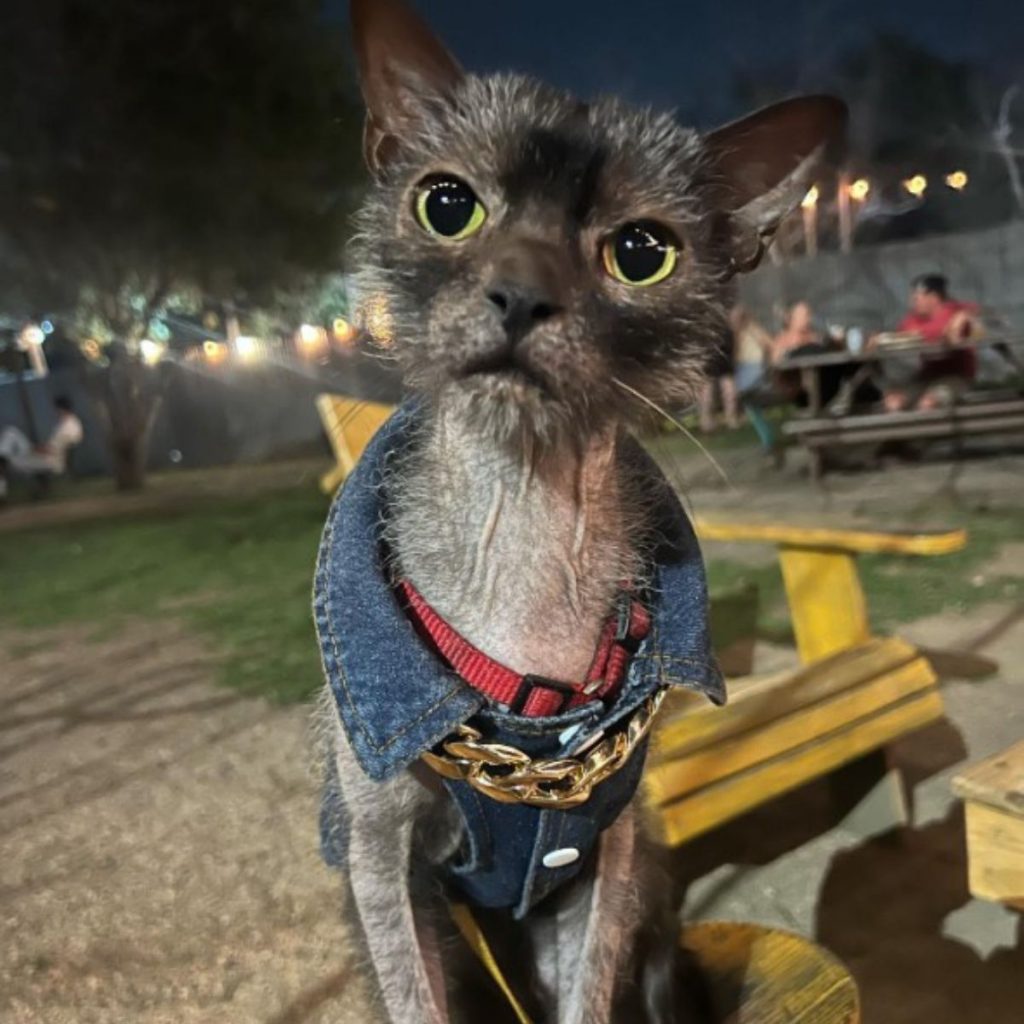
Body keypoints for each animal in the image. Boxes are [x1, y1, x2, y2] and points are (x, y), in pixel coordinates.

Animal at [313, 2, 847, 1024]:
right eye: (449, 205)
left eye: (641, 253)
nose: (522, 292)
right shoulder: (383, 864)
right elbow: (413, 993)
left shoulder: (608, 852)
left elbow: (590, 994)